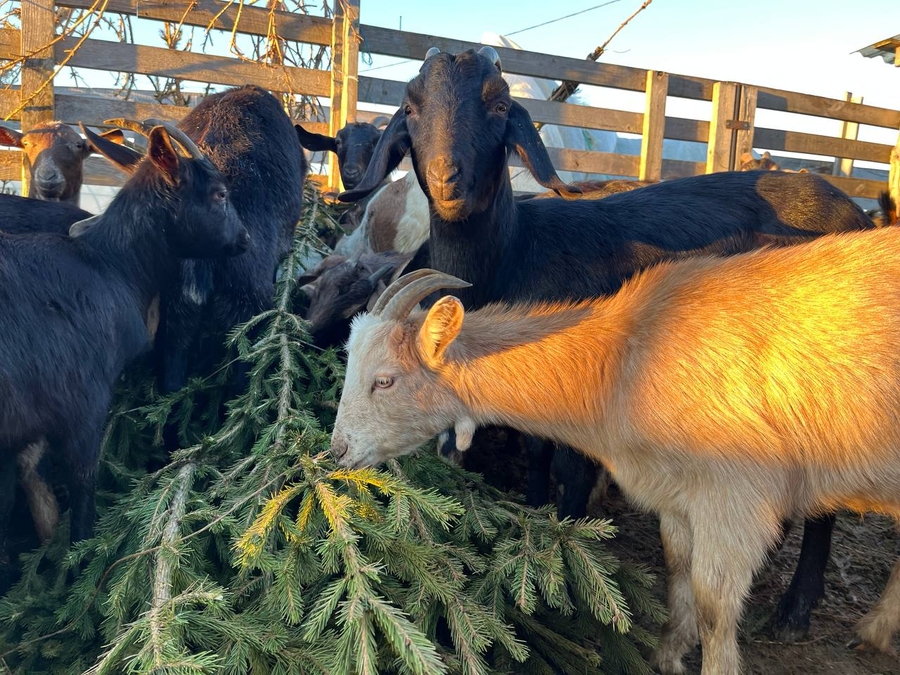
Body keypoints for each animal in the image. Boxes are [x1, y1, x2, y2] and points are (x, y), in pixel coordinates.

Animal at [0, 123, 246, 592]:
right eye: (220, 193)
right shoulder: (84, 406)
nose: (244, 240)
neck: (109, 266)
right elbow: (82, 490)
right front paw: (78, 576)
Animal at [330, 228, 900, 675]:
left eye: (384, 380)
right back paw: (875, 628)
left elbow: (715, 604)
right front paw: (667, 655)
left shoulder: (734, 495)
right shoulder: (677, 493)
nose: (336, 453)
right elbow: (677, 570)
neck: (626, 360)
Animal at [342, 46, 884, 640]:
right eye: (411, 108)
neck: (515, 252)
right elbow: (536, 452)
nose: (446, 178)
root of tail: (854, 210)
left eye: (499, 106)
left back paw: (795, 608)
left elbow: (570, 467)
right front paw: (536, 522)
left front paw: (569, 545)